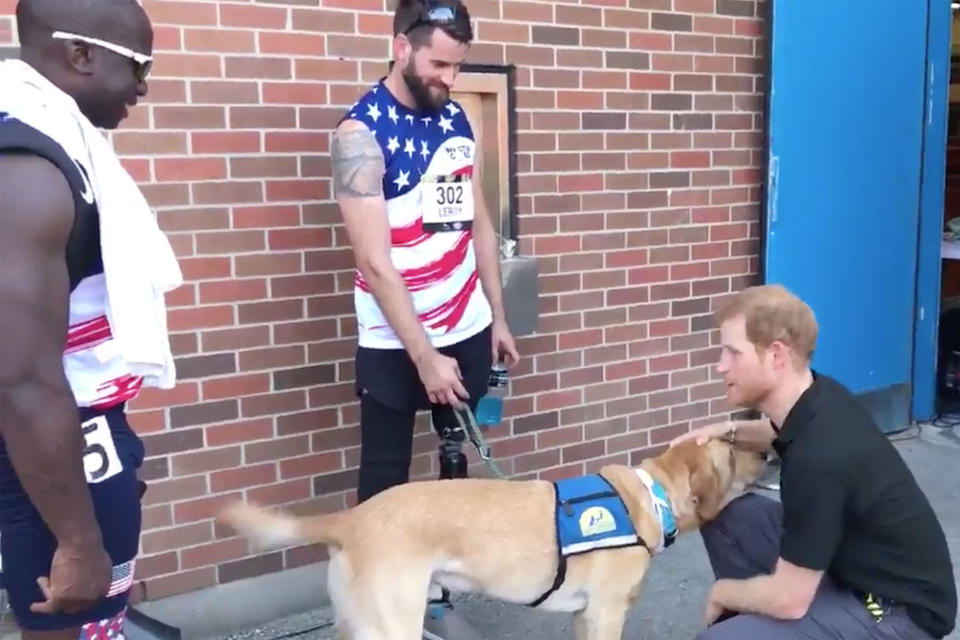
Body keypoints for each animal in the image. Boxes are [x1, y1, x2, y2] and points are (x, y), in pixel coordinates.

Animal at [218, 440, 764, 640]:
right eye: (733, 449)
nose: (771, 452)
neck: (651, 497)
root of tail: (351, 519)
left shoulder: (585, 616)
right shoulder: (606, 614)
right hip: (392, 625)